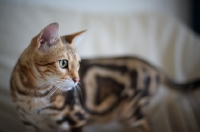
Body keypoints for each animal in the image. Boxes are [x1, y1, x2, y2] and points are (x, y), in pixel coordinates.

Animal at [10, 22, 200, 132]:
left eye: (78, 64)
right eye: (63, 63)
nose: (77, 80)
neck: (32, 95)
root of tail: (153, 67)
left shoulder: (77, 118)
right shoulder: (30, 124)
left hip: (131, 110)